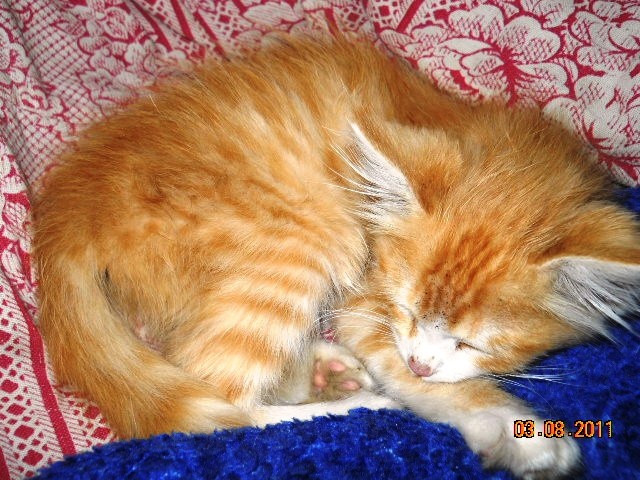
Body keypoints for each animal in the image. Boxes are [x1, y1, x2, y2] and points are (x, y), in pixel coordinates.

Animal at [32, 35, 640, 479]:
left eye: (475, 342)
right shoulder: (368, 298)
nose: (423, 362)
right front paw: (511, 427)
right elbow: (406, 367)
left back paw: (326, 373)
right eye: (405, 308)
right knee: (218, 404)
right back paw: (351, 406)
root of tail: (71, 205)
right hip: (305, 236)